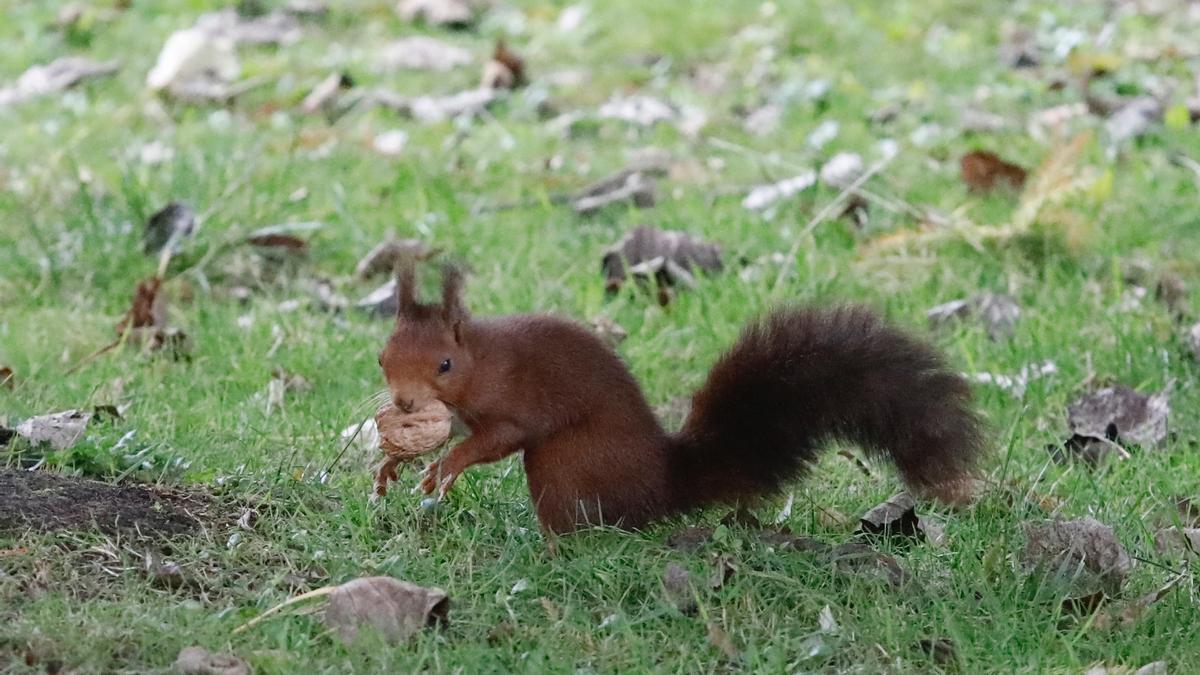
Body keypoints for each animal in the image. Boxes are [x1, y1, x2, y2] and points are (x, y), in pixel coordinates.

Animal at [381, 263, 984, 530]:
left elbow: (497, 438)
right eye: (383, 357)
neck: (481, 362)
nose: (406, 404)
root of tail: (664, 486)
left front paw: (446, 467)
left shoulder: (514, 400)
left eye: (444, 364)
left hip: (566, 465)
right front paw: (392, 463)